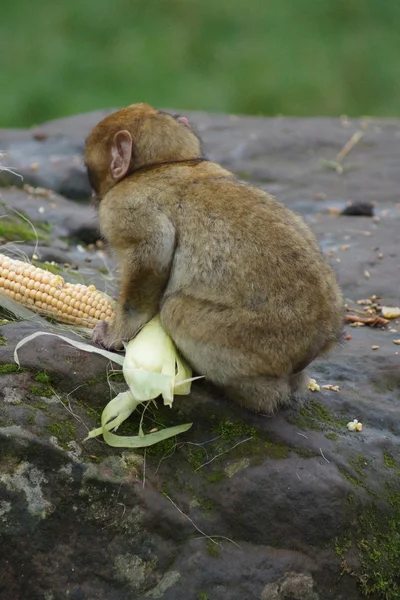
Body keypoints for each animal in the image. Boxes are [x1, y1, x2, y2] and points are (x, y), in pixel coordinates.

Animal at [83, 102, 340, 412]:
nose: (92, 195)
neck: (169, 163)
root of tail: (319, 341)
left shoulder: (124, 207)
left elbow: (152, 253)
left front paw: (115, 335)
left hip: (255, 340)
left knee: (176, 310)